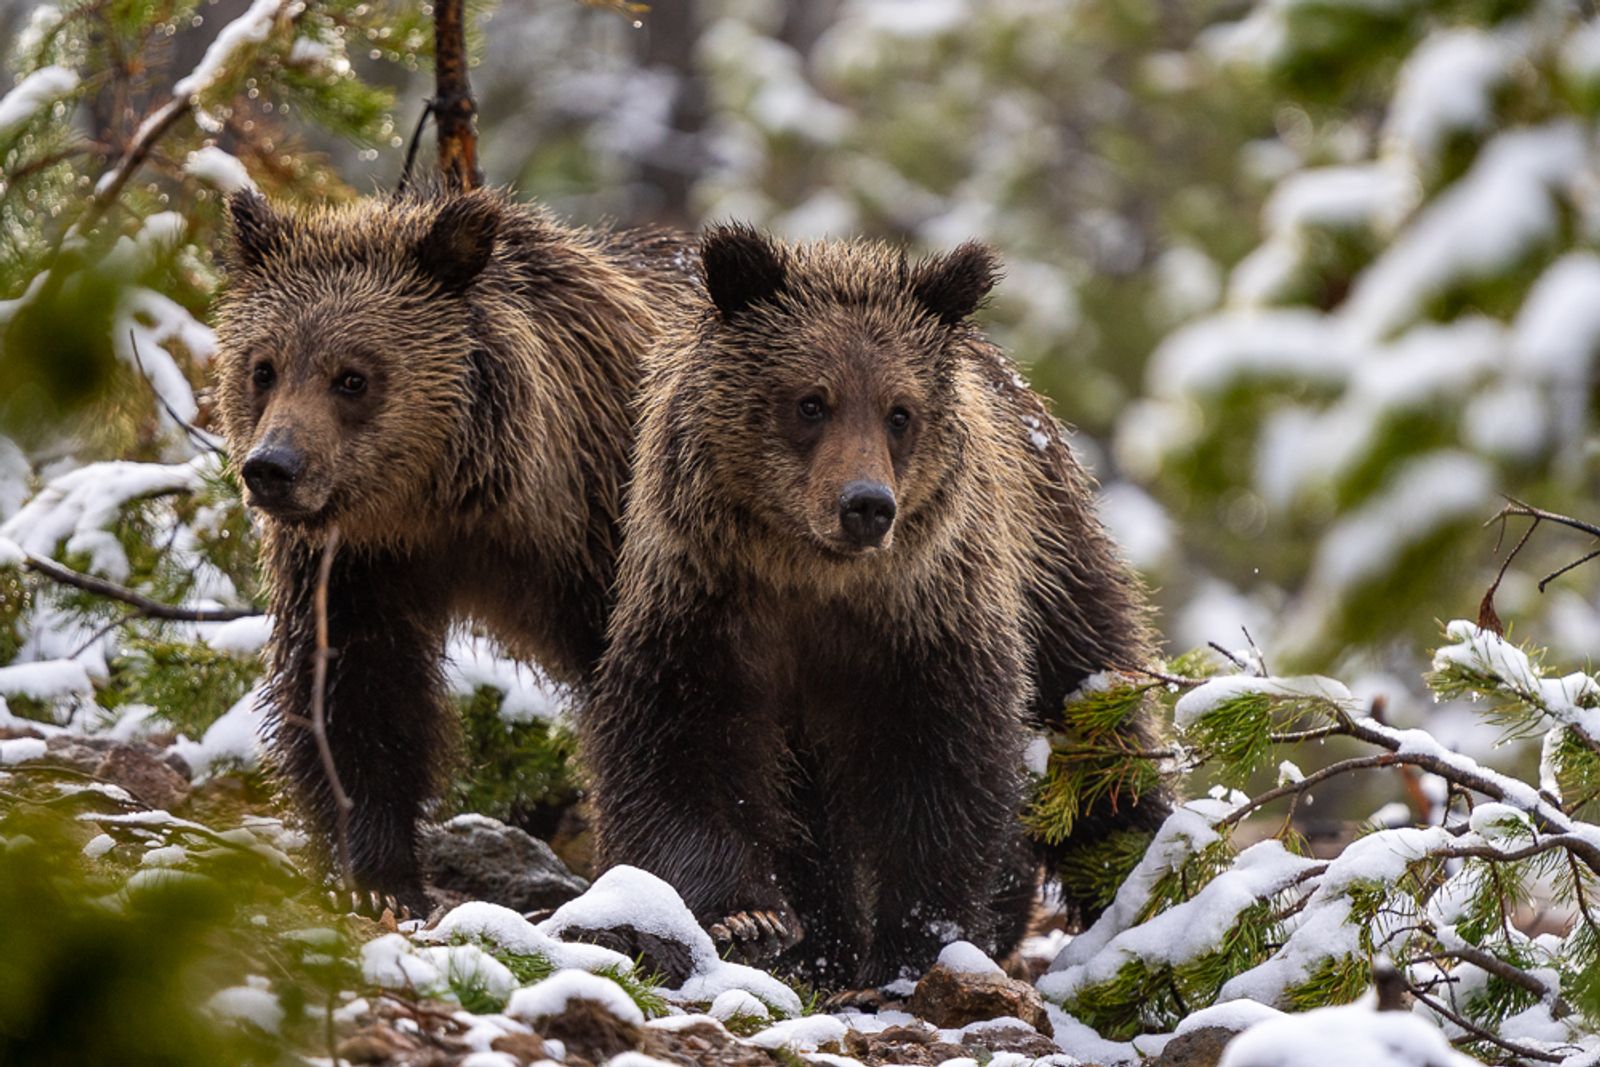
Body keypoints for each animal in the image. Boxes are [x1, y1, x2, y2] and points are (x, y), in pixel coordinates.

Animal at [212, 186, 695, 913]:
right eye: (263, 368)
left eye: (351, 377)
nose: (273, 466)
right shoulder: (360, 565)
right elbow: (360, 694)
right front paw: (378, 878)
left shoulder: (618, 530)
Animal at [580, 224, 1165, 990]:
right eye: (810, 401)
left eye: (899, 411)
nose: (865, 504)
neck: (812, 580)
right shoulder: (705, 608)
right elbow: (678, 750)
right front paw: (747, 920)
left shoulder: (923, 621)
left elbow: (940, 768)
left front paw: (916, 938)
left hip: (1053, 558)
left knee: (1097, 719)